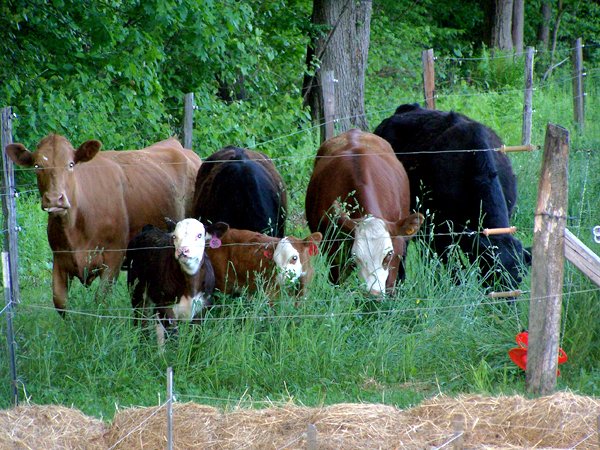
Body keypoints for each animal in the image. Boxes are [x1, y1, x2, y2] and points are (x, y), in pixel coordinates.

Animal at [5, 134, 202, 312]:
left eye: (70, 164)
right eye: (37, 165)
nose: (54, 199)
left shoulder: (113, 258)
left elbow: (101, 301)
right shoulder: (60, 258)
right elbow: (60, 302)